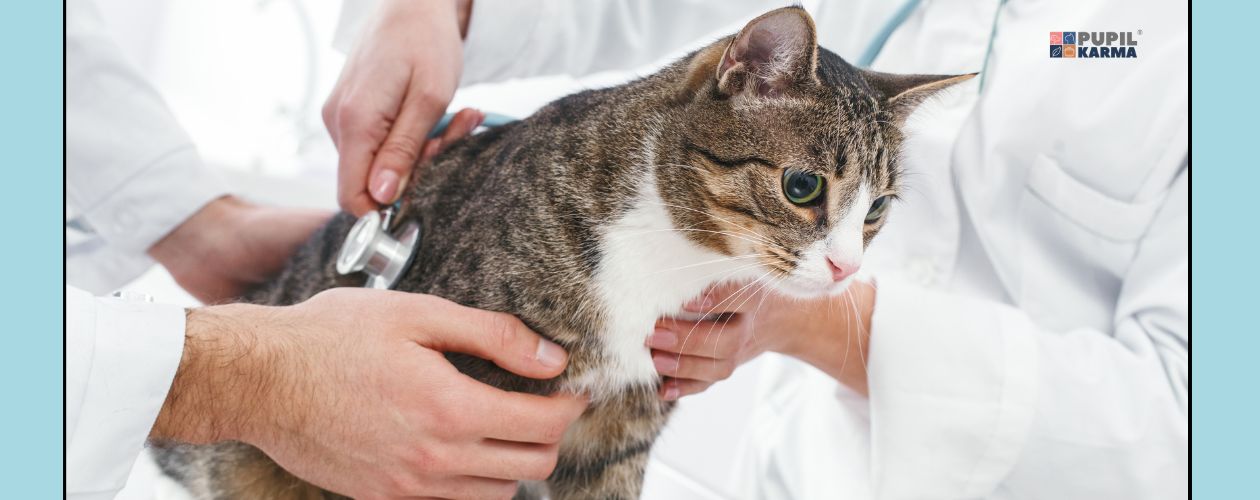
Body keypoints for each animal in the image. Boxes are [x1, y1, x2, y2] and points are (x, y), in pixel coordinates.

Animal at [152, 7, 967, 498]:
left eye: (878, 210)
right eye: (803, 187)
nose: (846, 269)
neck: (662, 261)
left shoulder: (619, 432)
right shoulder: (465, 418)